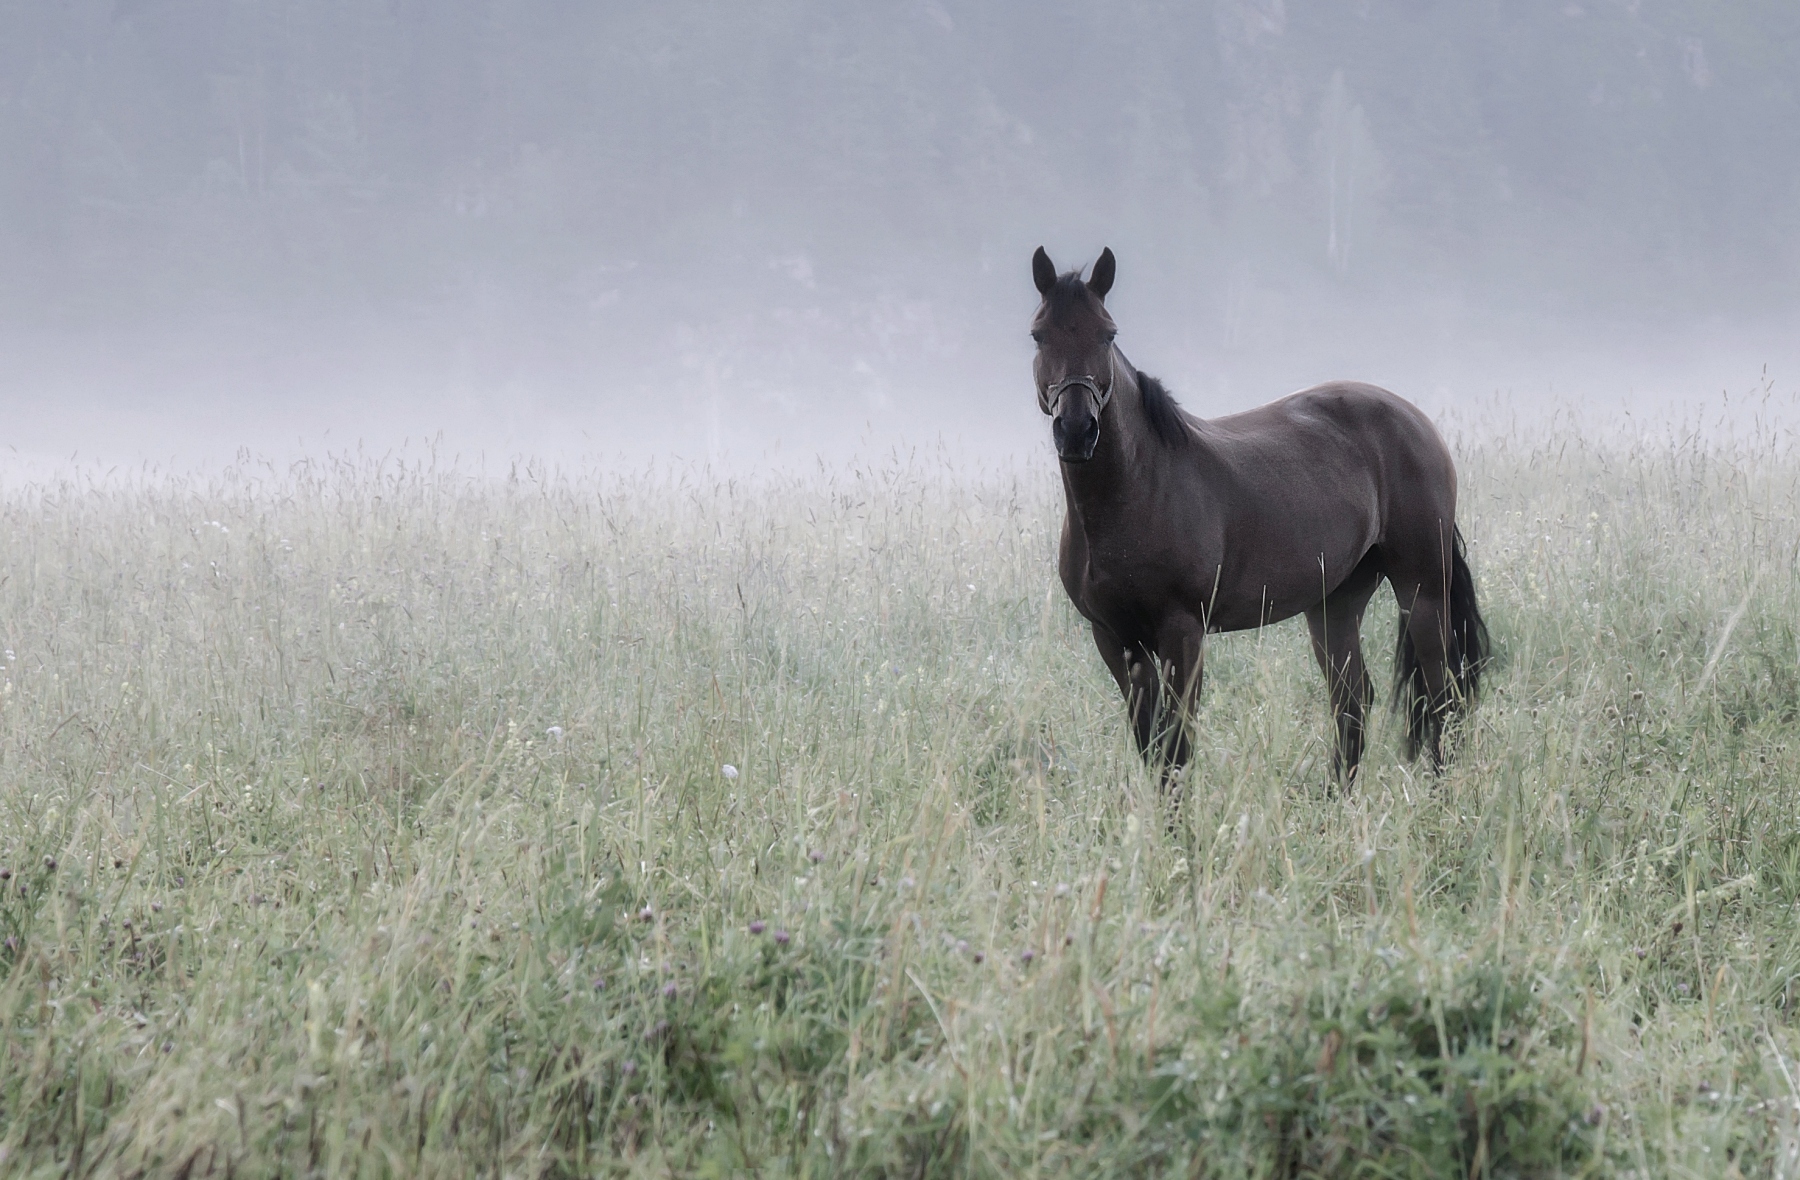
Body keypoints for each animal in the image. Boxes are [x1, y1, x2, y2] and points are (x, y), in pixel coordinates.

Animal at [1036, 244, 1483, 787]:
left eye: (1108, 333)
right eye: (1039, 334)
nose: (1077, 430)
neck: (1135, 492)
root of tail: (1417, 422)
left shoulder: (1182, 631)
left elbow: (1177, 744)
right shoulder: (1116, 639)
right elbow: (1151, 743)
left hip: (1422, 587)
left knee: (1442, 695)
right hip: (1335, 604)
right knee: (1353, 699)